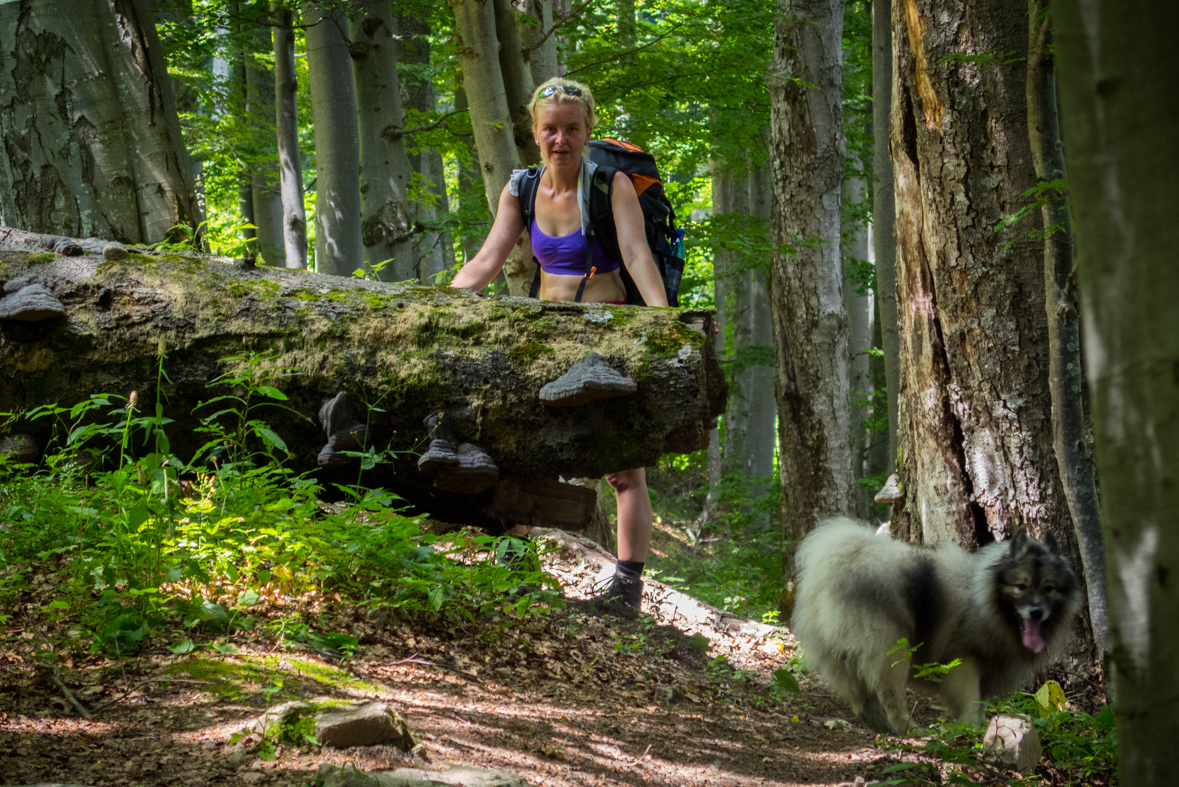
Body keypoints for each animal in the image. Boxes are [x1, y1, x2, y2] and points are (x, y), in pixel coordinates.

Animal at [792, 518, 1079, 735]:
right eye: (1021, 586)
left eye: (1049, 588)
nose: (1037, 612)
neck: (985, 601)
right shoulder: (963, 662)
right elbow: (970, 703)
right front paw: (971, 731)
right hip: (892, 652)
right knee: (891, 700)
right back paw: (911, 730)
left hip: (846, 658)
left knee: (863, 704)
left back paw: (884, 729)